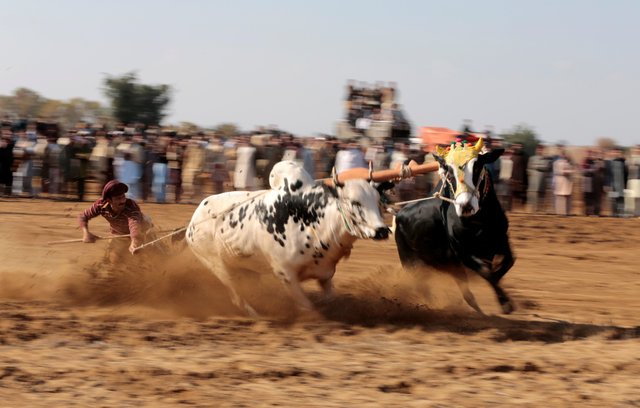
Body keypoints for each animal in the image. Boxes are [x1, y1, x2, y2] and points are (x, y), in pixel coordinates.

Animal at [182, 160, 388, 316]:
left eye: (378, 200)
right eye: (355, 202)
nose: (382, 230)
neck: (313, 222)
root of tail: (193, 222)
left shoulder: (325, 274)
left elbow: (329, 299)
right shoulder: (286, 275)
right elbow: (307, 307)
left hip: (247, 270)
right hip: (219, 267)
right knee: (237, 297)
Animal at [392, 151, 516, 314]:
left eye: (477, 168)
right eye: (450, 175)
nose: (466, 205)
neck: (480, 222)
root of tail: (399, 214)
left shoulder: (502, 241)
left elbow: (507, 263)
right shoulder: (464, 254)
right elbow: (487, 273)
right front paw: (506, 304)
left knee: (466, 294)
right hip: (411, 263)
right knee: (425, 288)